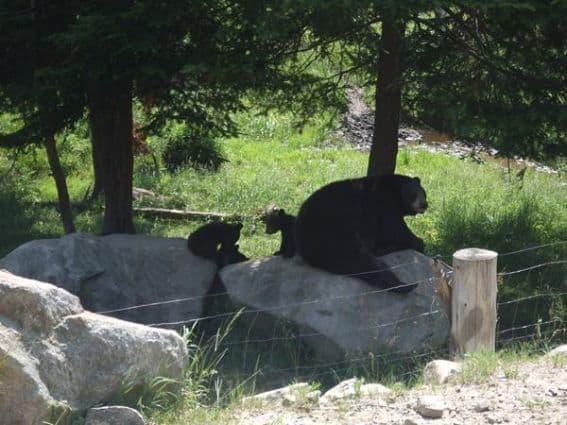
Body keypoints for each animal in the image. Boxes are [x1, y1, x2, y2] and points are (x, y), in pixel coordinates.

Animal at [296, 173, 428, 292]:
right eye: (414, 194)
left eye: (424, 193)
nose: (424, 204)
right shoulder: (383, 207)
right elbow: (395, 229)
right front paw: (417, 242)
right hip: (333, 232)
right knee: (359, 259)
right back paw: (403, 285)